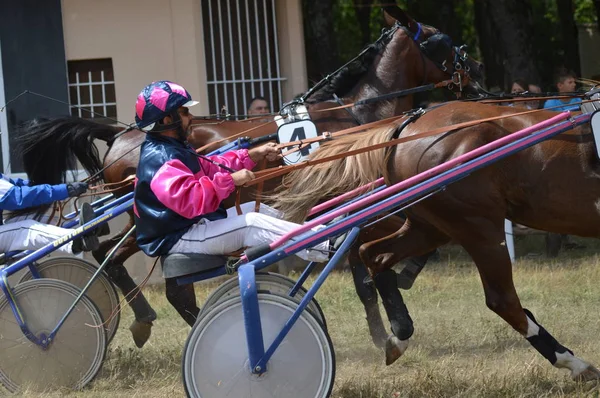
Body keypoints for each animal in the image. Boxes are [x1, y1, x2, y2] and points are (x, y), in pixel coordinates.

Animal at [19, 5, 488, 348]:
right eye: (442, 39)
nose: (479, 72)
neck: (360, 116)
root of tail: (123, 134)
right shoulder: (368, 198)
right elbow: (384, 251)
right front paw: (397, 314)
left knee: (121, 262)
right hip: (150, 221)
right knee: (125, 262)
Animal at [270, 98, 600, 380]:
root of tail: (406, 127)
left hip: (430, 226)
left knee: (373, 254)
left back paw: (399, 333)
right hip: (478, 227)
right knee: (502, 300)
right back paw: (573, 362)